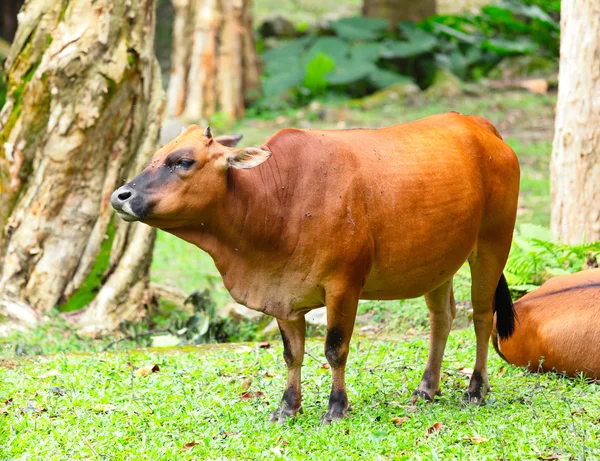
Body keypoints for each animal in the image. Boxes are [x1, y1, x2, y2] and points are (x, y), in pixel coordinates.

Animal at [111, 111, 520, 420]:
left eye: (183, 161)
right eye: (155, 155)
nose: (120, 195)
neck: (277, 201)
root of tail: (480, 125)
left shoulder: (344, 286)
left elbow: (335, 348)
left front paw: (336, 407)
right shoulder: (282, 295)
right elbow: (292, 354)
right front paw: (287, 407)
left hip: (492, 245)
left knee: (481, 316)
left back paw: (476, 388)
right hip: (439, 263)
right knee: (443, 317)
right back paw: (426, 387)